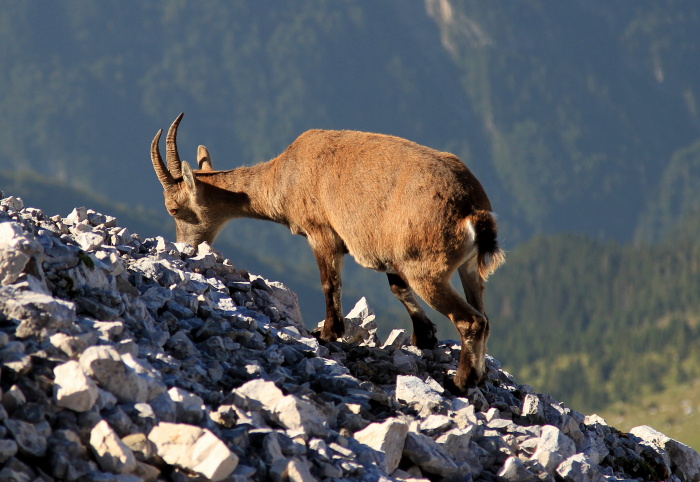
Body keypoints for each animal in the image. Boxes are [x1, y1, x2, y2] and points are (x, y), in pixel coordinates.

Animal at [152, 114, 504, 392]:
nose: (185, 248)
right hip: (467, 268)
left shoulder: (322, 234)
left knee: (471, 320)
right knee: (484, 316)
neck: (284, 177)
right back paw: (478, 375)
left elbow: (329, 284)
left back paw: (461, 381)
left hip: (426, 270)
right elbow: (396, 287)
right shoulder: (387, 253)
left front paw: (328, 332)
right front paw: (425, 337)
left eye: (173, 208)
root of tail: (472, 209)